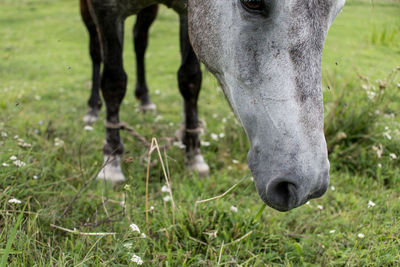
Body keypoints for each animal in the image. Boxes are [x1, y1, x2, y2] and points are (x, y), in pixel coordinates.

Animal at [86, 0, 346, 214]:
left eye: (337, 10)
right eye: (252, 1)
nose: (306, 184)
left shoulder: (188, 12)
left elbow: (189, 79)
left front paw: (194, 155)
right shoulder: (104, 9)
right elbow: (114, 82)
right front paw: (111, 162)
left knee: (140, 40)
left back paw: (145, 100)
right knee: (96, 50)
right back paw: (92, 110)